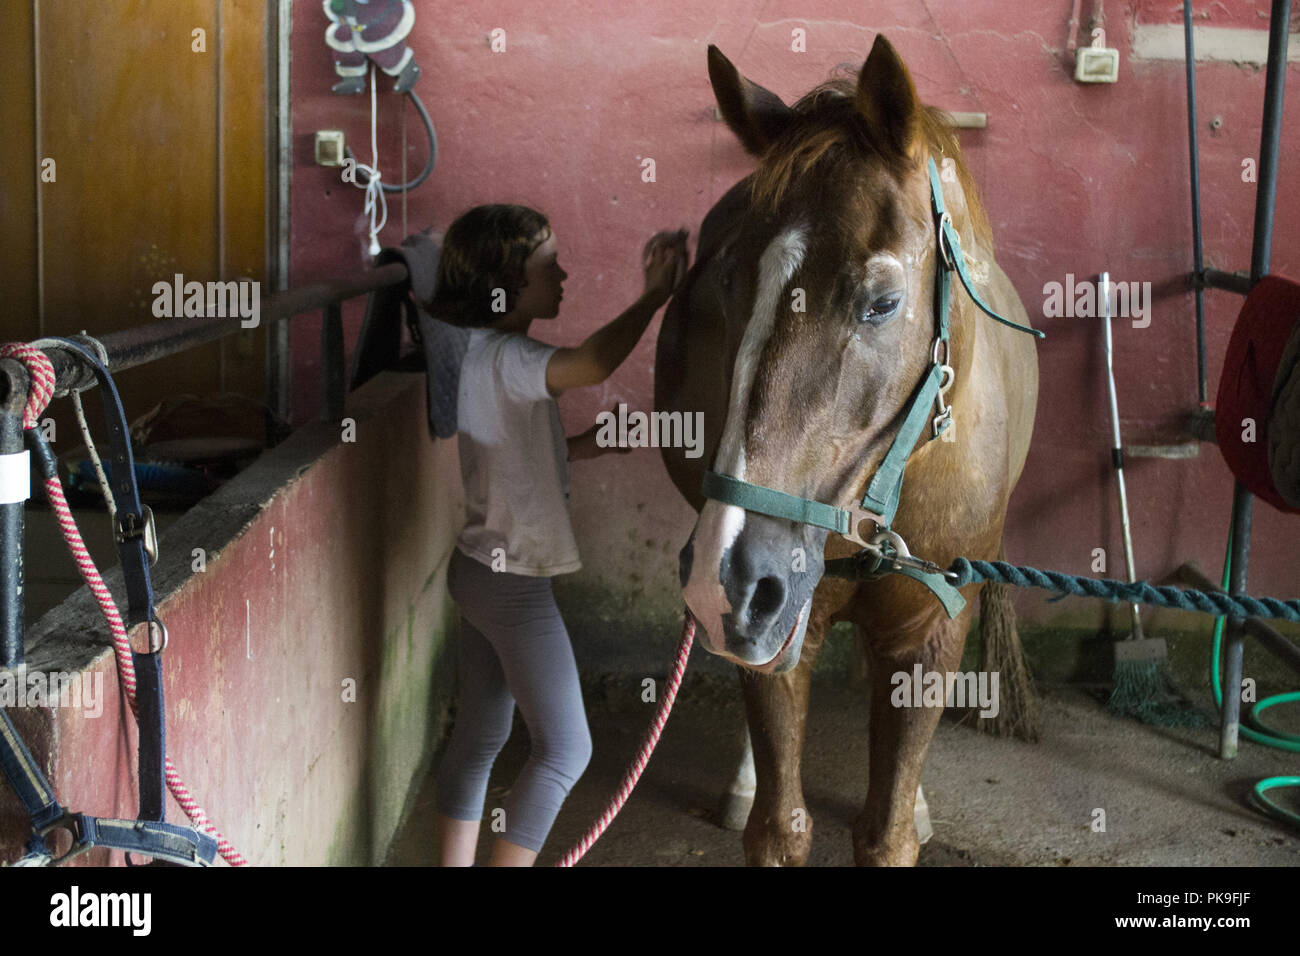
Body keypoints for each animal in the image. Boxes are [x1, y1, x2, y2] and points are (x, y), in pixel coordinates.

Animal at [655, 35, 1040, 868]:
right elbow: (780, 825)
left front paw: (909, 807)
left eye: (882, 302)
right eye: (728, 282)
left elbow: (887, 827)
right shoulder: (786, 622)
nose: (731, 577)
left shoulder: (931, 630)